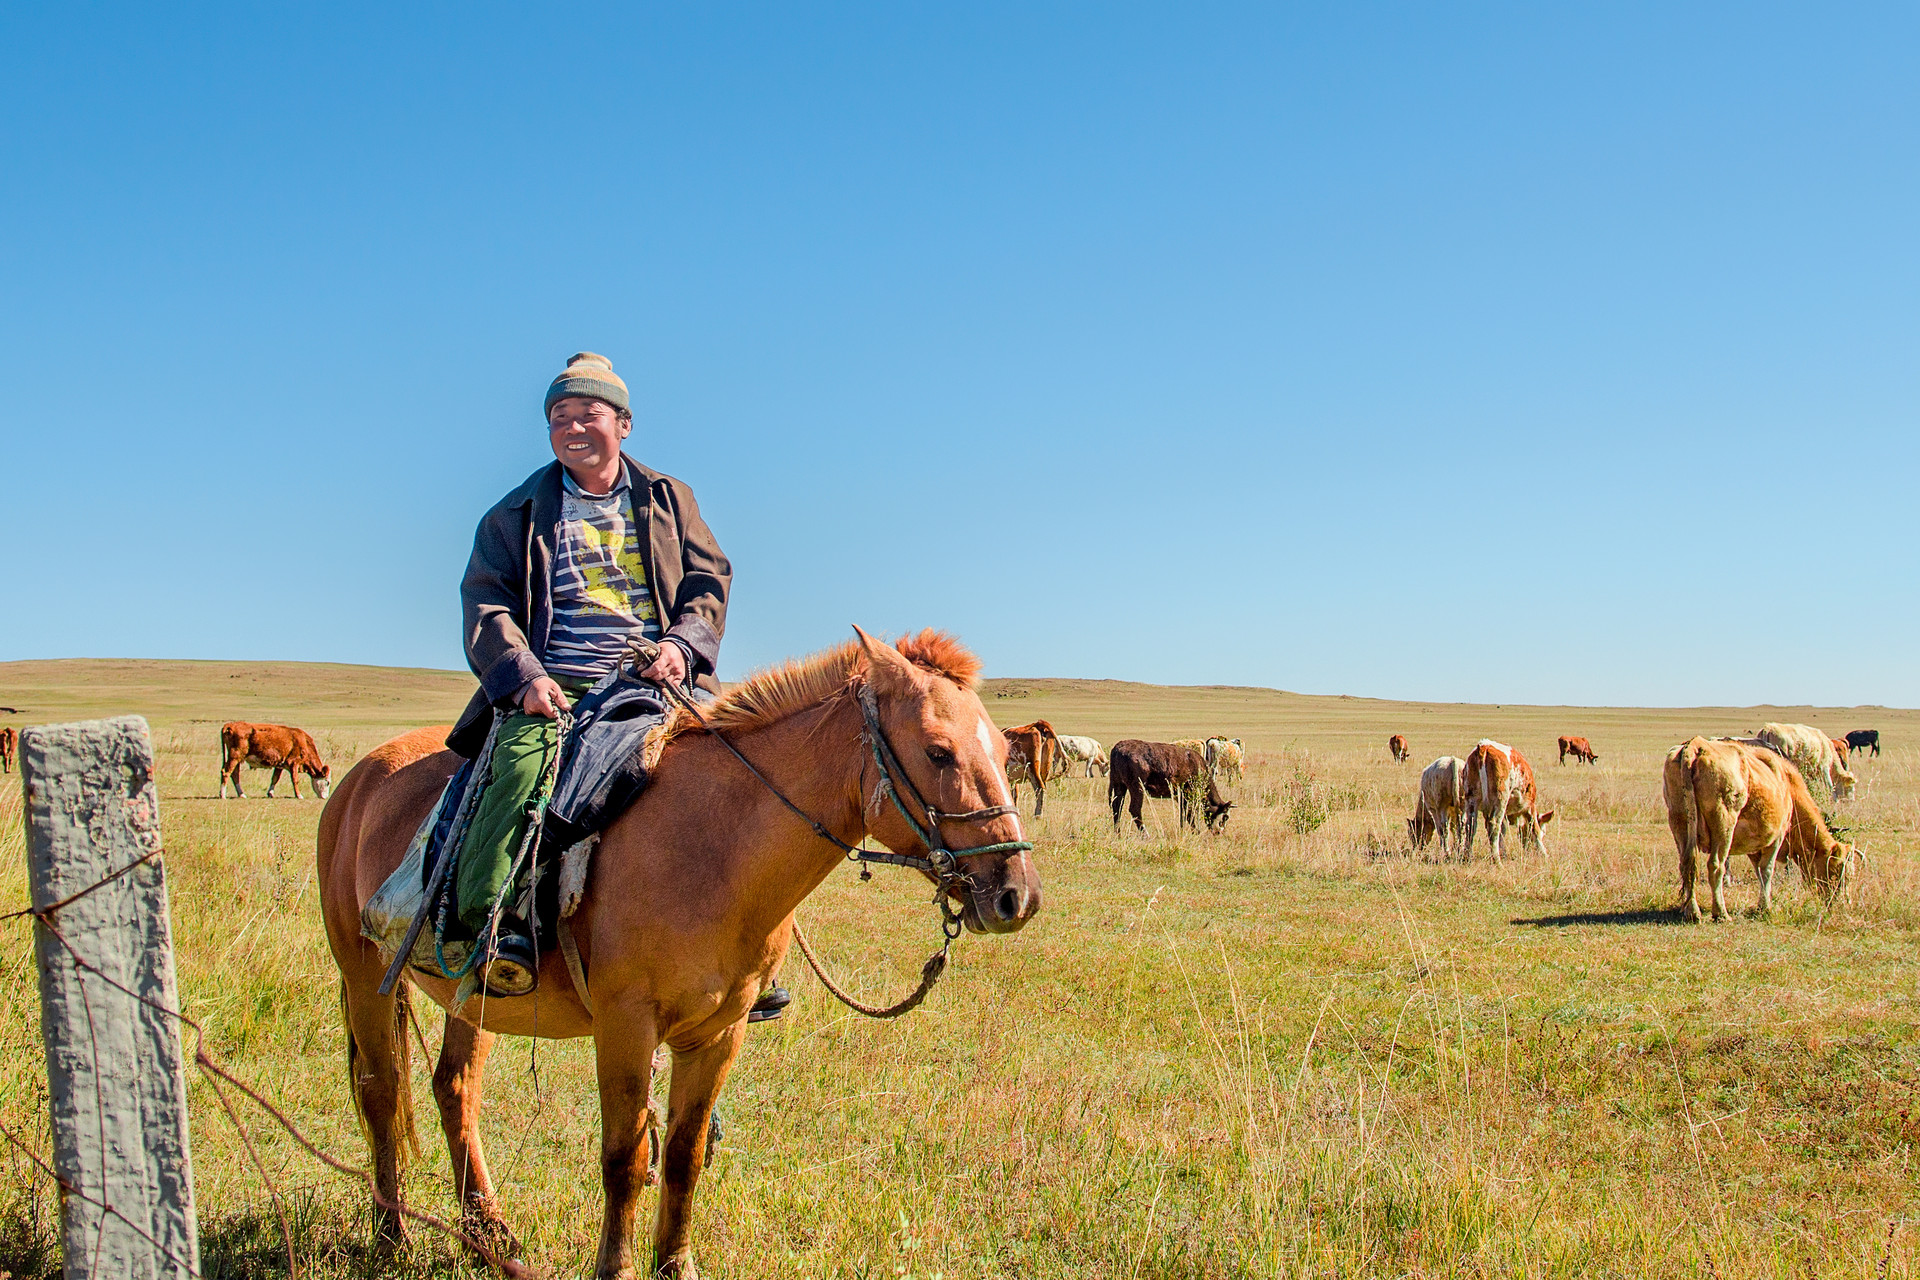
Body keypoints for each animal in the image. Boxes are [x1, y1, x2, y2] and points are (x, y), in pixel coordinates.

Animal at [318, 625, 1036, 1274]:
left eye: (1005, 750)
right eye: (938, 752)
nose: (1017, 895)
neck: (715, 846)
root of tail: (359, 779)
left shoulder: (718, 1032)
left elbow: (685, 1157)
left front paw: (677, 1265)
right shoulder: (626, 1024)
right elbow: (625, 1157)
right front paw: (615, 1267)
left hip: (477, 994)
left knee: (454, 1088)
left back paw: (487, 1235)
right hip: (364, 972)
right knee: (381, 1090)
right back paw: (391, 1235)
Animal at [1658, 736, 1850, 924]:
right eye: (1839, 870)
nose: (1838, 900)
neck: (1790, 790)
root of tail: (1697, 745)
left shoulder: (1754, 847)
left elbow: (1758, 870)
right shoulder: (1777, 837)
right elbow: (1766, 870)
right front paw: (1766, 907)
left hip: (1679, 821)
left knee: (1687, 865)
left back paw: (1692, 912)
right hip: (1724, 824)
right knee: (1716, 865)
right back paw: (1721, 913)